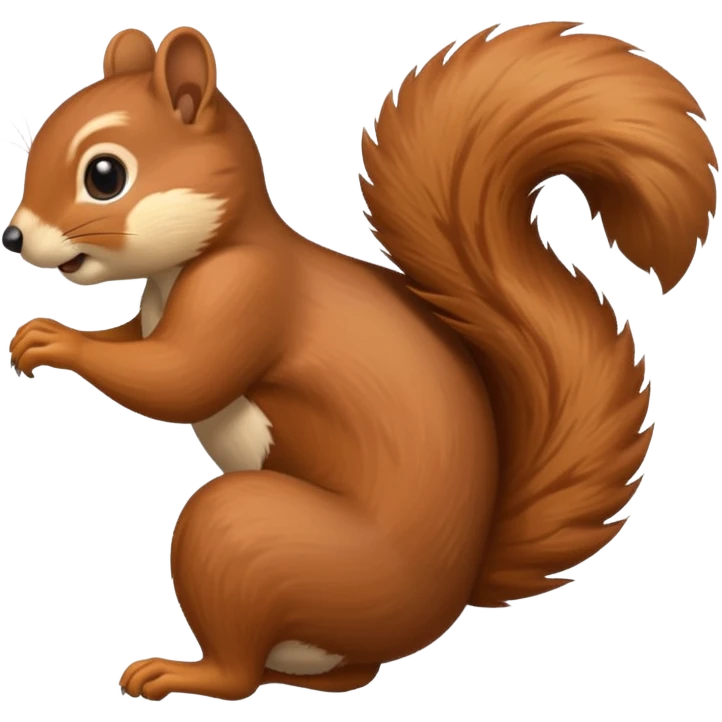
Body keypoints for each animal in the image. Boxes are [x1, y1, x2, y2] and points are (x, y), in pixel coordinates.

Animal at [4, 22, 717, 702]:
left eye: (104, 175)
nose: (13, 236)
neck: (198, 256)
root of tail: (442, 604)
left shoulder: (248, 295)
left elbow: (180, 380)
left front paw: (58, 343)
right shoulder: (155, 315)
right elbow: (134, 346)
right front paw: (36, 335)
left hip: (252, 541)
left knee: (240, 671)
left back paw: (182, 675)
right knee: (344, 672)